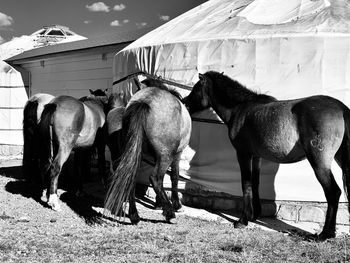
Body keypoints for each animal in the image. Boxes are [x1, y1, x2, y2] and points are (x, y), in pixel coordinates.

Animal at [104, 79, 191, 225]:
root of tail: (144, 101)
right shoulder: (177, 154)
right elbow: (174, 176)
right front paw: (176, 204)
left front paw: (159, 203)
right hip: (166, 156)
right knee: (156, 179)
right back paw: (170, 213)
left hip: (135, 154)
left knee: (131, 177)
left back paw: (134, 215)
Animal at [183, 70, 350, 241]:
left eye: (196, 89)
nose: (184, 103)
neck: (240, 108)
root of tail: (340, 108)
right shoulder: (256, 156)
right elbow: (255, 183)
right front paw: (254, 215)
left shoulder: (243, 154)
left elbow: (246, 184)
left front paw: (243, 220)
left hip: (319, 162)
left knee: (333, 192)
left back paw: (325, 234)